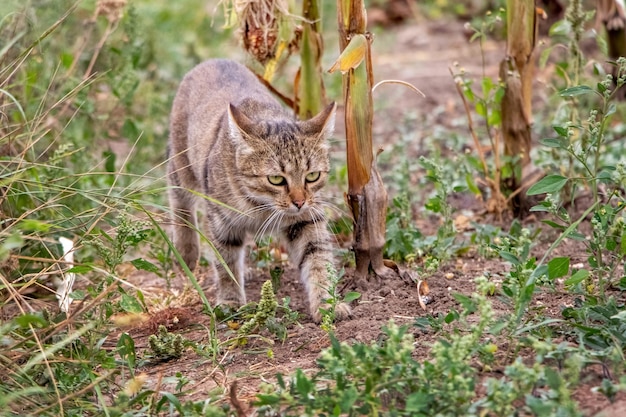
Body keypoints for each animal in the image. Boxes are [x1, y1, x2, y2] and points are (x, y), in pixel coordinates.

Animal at [168, 58, 348, 322]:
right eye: (276, 179)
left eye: (312, 176)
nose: (299, 202)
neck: (261, 207)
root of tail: (214, 60)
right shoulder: (222, 223)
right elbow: (225, 263)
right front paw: (230, 300)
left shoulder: (306, 220)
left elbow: (318, 260)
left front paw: (327, 304)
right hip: (182, 167)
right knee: (178, 198)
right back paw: (186, 250)